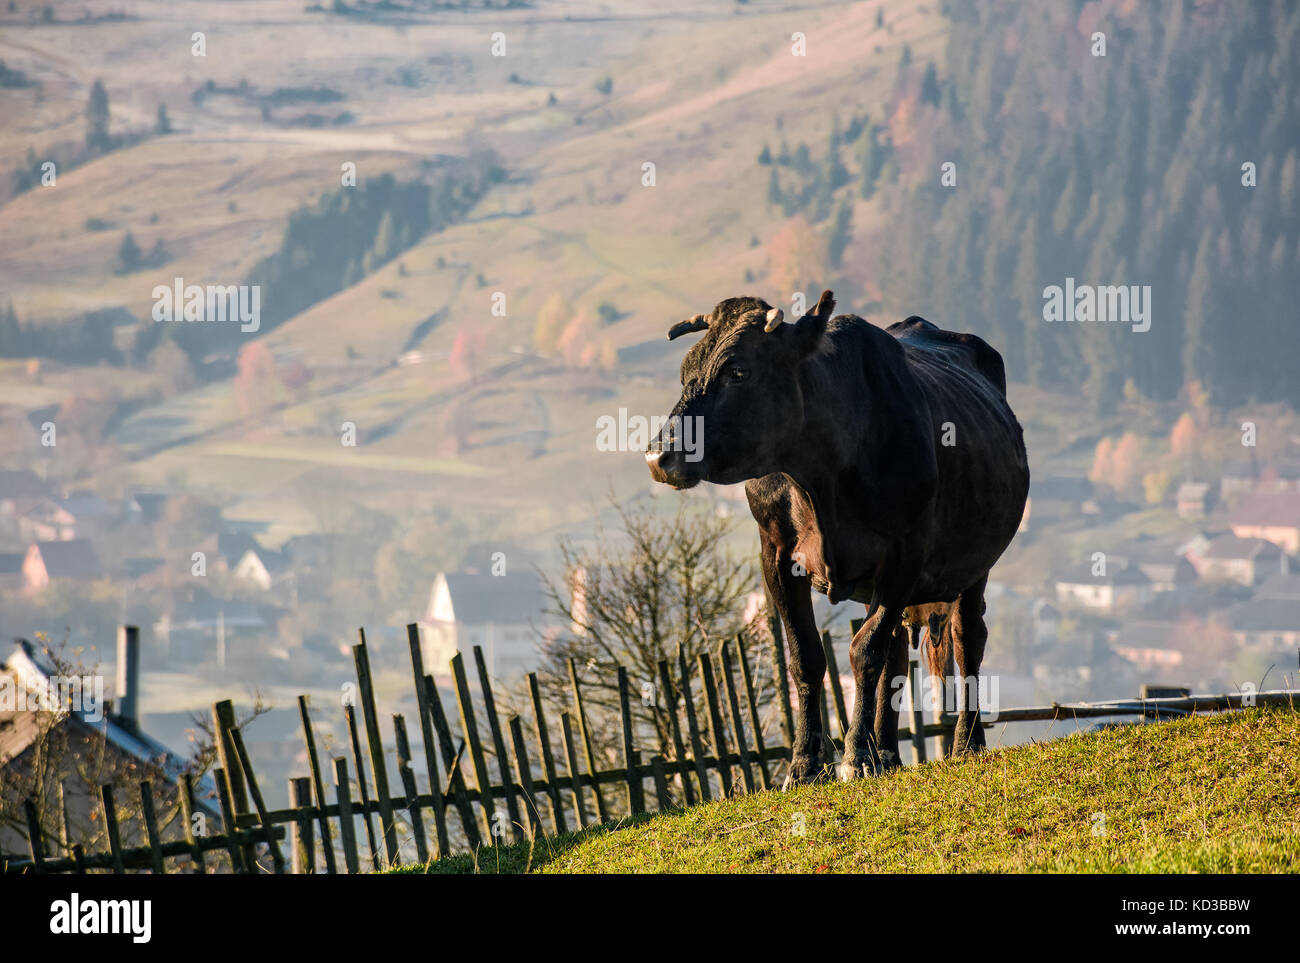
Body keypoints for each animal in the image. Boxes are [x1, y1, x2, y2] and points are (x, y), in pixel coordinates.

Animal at [647, 291, 1024, 779]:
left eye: (738, 371)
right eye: (685, 372)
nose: (660, 457)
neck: (818, 475)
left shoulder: (906, 553)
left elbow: (865, 652)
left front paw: (855, 754)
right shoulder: (775, 552)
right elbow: (807, 655)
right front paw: (806, 762)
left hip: (975, 566)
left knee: (966, 638)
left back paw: (965, 743)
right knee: (897, 652)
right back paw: (888, 753)